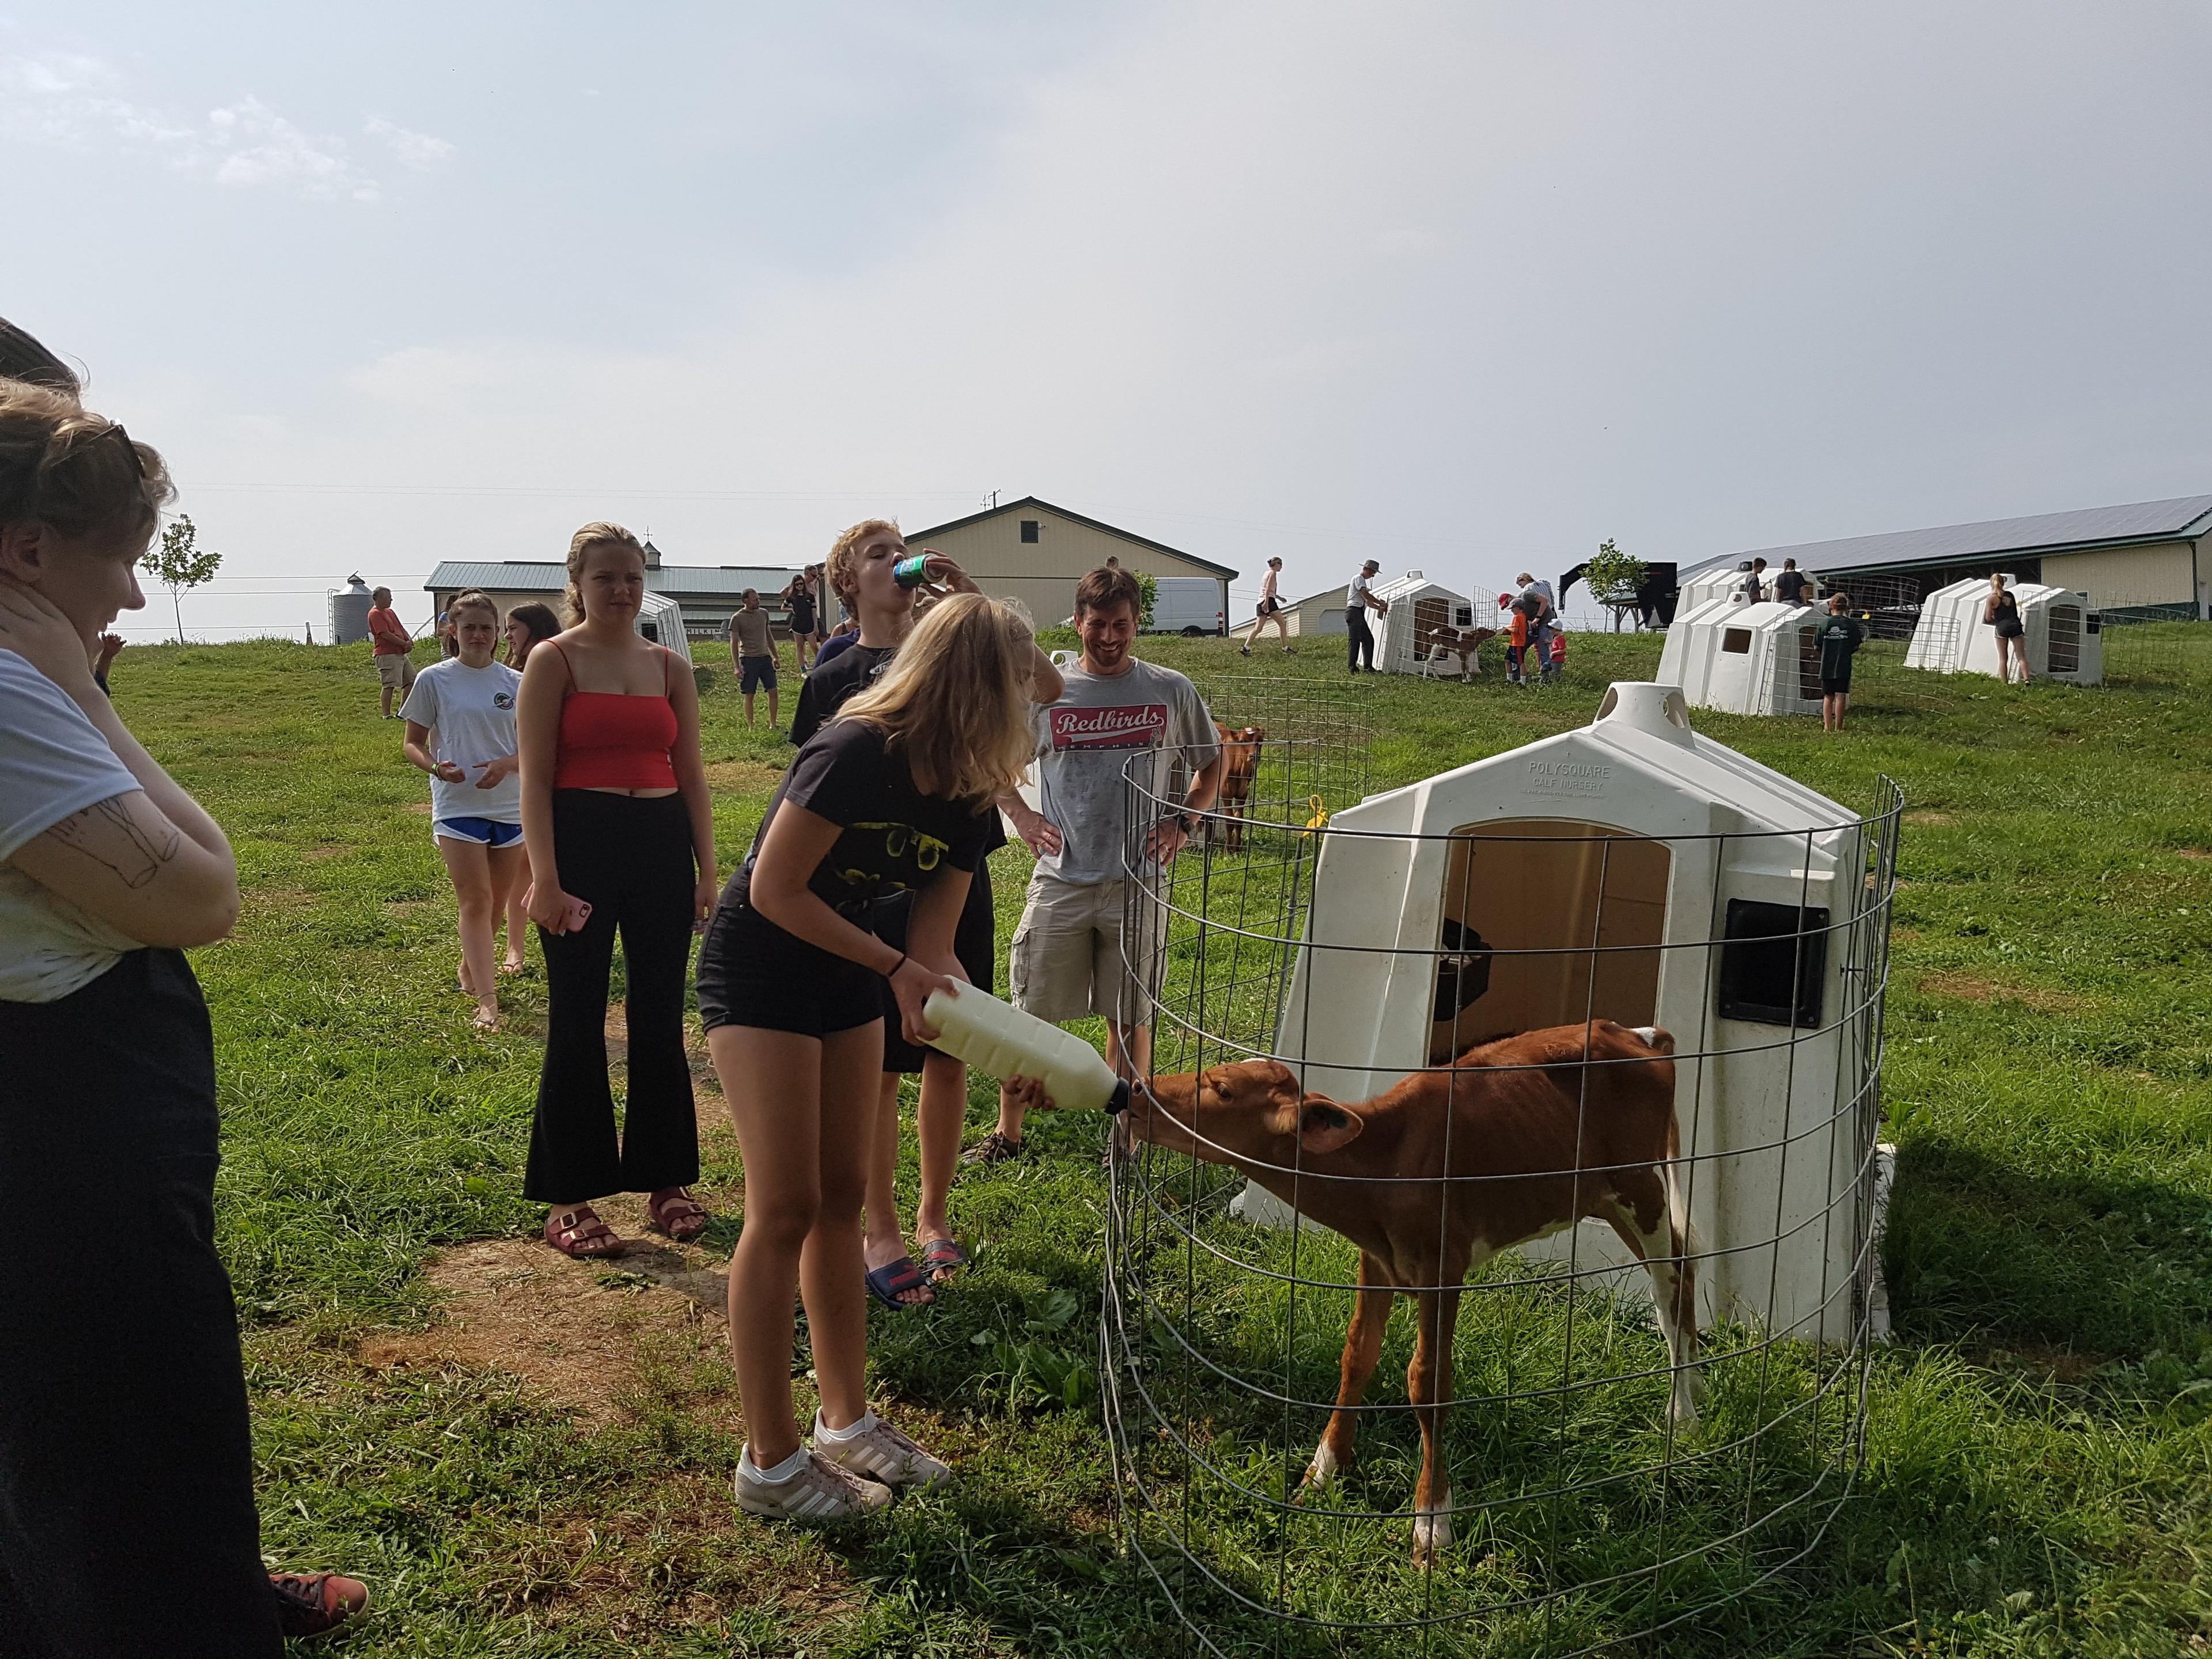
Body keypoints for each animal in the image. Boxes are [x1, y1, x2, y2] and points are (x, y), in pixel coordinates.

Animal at [1132, 1022, 1699, 1566]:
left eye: (1223, 1090)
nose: (1139, 1090)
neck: (1385, 1164)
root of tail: (1633, 1032)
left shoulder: (1442, 1266)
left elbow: (1428, 1382)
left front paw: (1431, 1522)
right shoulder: (1377, 1259)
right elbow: (1357, 1355)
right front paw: (1323, 1471)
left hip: (1641, 1187)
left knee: (1668, 1286)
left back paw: (1683, 1415)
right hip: (1606, 1196)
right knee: (1686, 1266)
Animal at [1212, 725, 1265, 858]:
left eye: (1261, 740)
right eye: (1242, 741)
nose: (1254, 756)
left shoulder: (1242, 794)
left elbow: (1239, 820)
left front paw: (1237, 850)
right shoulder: (1226, 793)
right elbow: (1229, 820)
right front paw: (1227, 852)